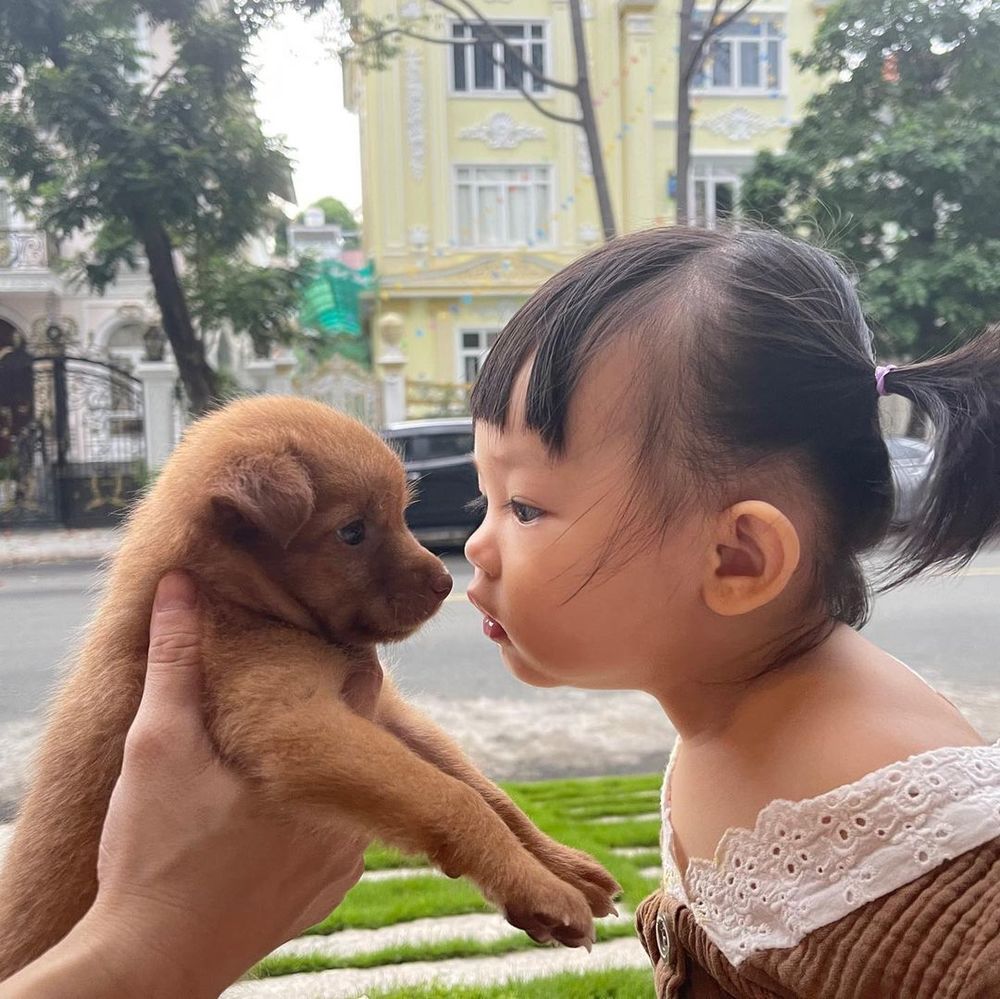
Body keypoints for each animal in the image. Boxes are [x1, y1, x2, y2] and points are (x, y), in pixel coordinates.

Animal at [0, 396, 620, 976]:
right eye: (352, 531)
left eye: (402, 514)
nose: (448, 582)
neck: (236, 600)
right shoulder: (290, 722)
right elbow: (451, 796)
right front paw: (540, 889)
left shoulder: (386, 714)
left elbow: (488, 793)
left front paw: (564, 865)